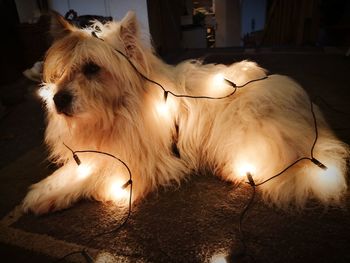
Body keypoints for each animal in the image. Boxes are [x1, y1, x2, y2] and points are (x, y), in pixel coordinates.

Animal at [21, 11, 348, 216]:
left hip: (242, 128)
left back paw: (235, 172)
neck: (116, 114)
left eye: (92, 69)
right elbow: (75, 169)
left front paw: (49, 197)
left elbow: (97, 176)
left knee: (276, 162)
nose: (58, 100)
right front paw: (43, 192)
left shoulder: (144, 163)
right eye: (61, 72)